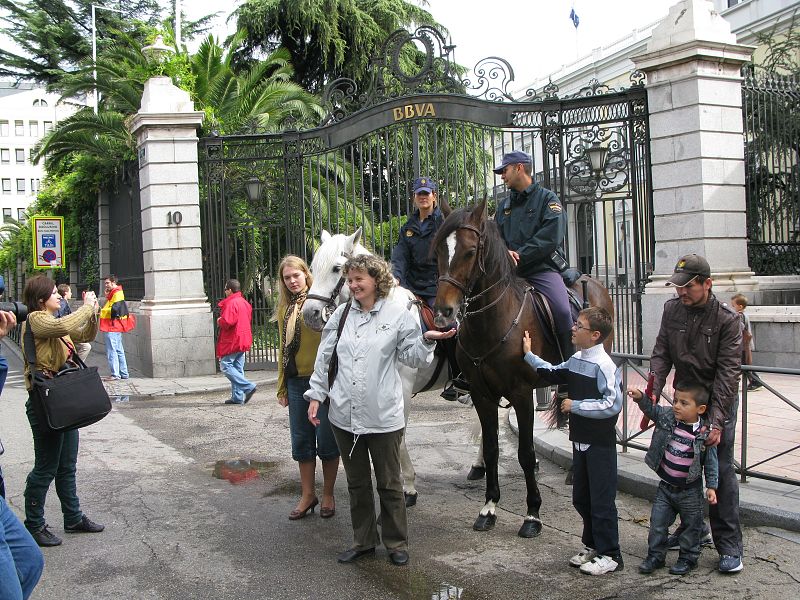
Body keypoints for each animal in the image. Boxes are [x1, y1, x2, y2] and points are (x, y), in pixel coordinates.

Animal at [432, 200, 612, 540]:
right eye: (437, 250)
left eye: (470, 251)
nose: (443, 312)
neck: (492, 321)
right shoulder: (482, 395)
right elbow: (491, 449)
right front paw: (489, 507)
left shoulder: (522, 394)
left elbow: (526, 454)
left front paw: (532, 515)